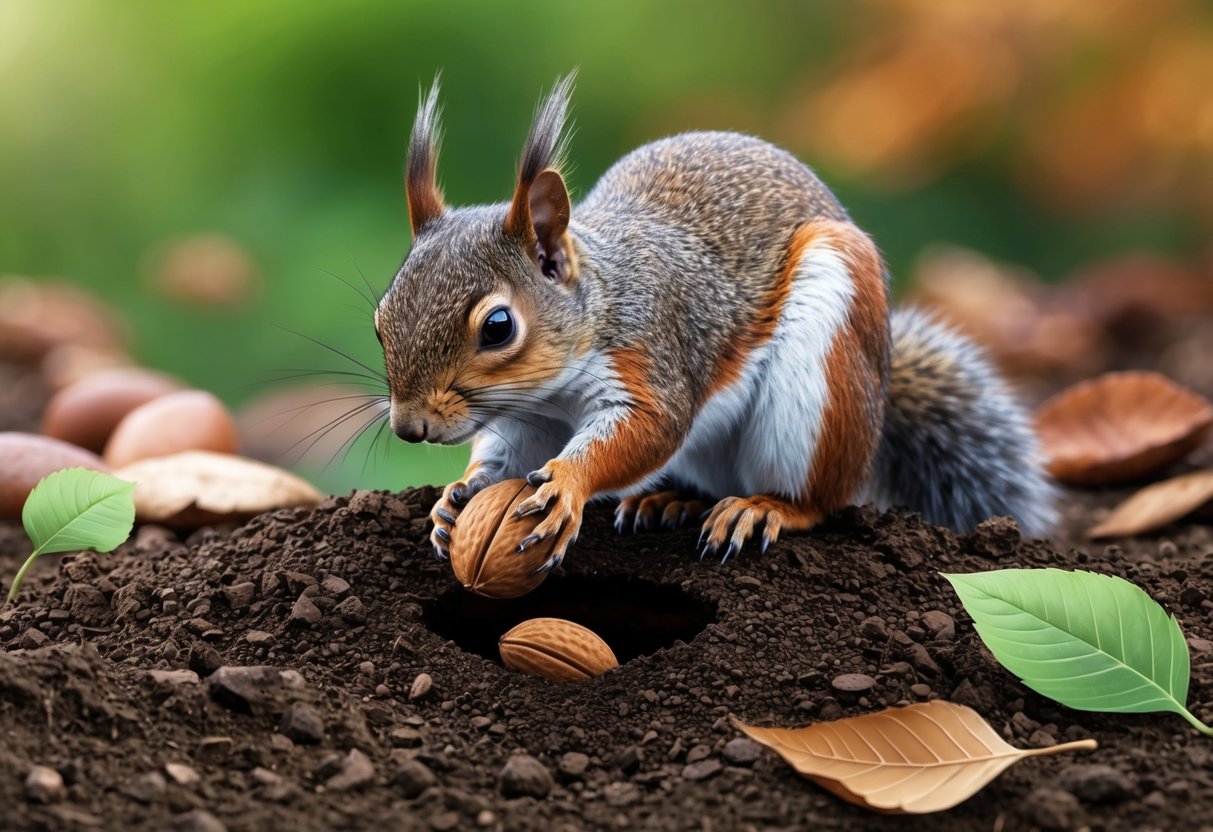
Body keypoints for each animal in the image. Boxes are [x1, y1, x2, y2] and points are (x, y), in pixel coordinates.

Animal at [373, 76, 1057, 572]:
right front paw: (457, 495)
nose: (410, 428)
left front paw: (566, 484)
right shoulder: (528, 417)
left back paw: (761, 508)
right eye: (381, 319)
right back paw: (667, 498)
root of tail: (878, 396)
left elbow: (647, 430)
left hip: (821, 386)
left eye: (497, 327)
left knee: (822, 499)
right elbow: (507, 454)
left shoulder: (654, 351)